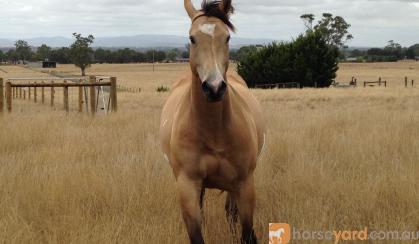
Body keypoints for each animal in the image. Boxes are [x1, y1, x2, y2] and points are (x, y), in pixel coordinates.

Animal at [159, 0, 268, 243]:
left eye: (226, 37)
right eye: (192, 38)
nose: (214, 87)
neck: (213, 133)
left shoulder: (244, 184)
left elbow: (245, 231)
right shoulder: (187, 185)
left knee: (230, 213)